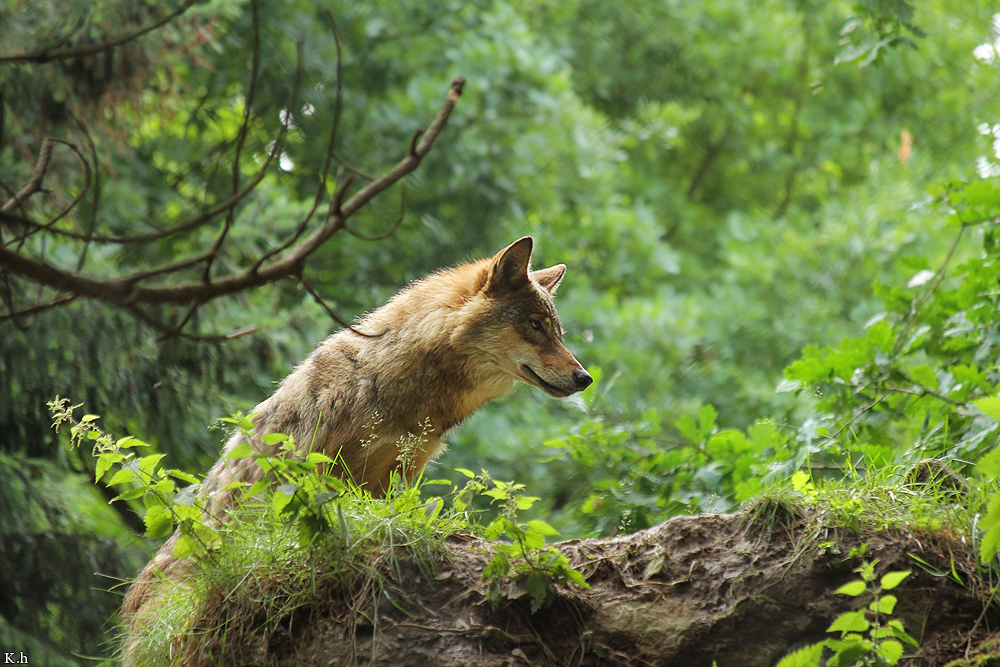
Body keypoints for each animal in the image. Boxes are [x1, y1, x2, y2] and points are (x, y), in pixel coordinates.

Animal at [121, 236, 591, 630]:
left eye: (557, 331)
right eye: (535, 326)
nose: (584, 377)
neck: (389, 381)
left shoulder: (402, 472)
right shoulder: (315, 472)